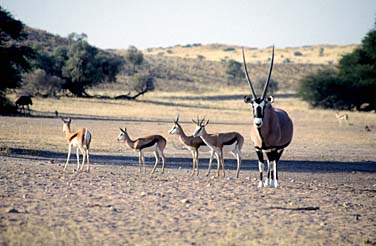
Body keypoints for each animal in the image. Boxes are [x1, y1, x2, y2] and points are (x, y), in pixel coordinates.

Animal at [242, 46, 296, 188]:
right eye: (252, 106)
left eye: (264, 105)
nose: (258, 123)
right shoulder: (258, 148)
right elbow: (261, 165)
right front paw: (261, 183)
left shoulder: (273, 147)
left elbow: (272, 164)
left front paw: (271, 183)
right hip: (268, 150)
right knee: (269, 162)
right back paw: (268, 181)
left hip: (279, 149)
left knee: (275, 162)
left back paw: (274, 182)